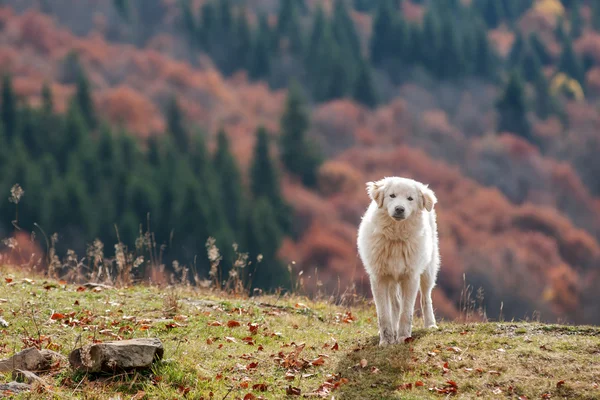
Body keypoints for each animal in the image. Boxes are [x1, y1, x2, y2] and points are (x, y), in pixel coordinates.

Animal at [358, 177, 438, 346]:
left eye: (410, 199)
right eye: (392, 195)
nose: (399, 209)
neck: (396, 237)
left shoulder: (411, 278)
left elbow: (406, 312)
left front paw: (403, 337)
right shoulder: (379, 278)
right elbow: (383, 314)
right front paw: (386, 340)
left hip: (428, 271)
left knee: (426, 298)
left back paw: (430, 325)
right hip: (392, 279)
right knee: (395, 304)